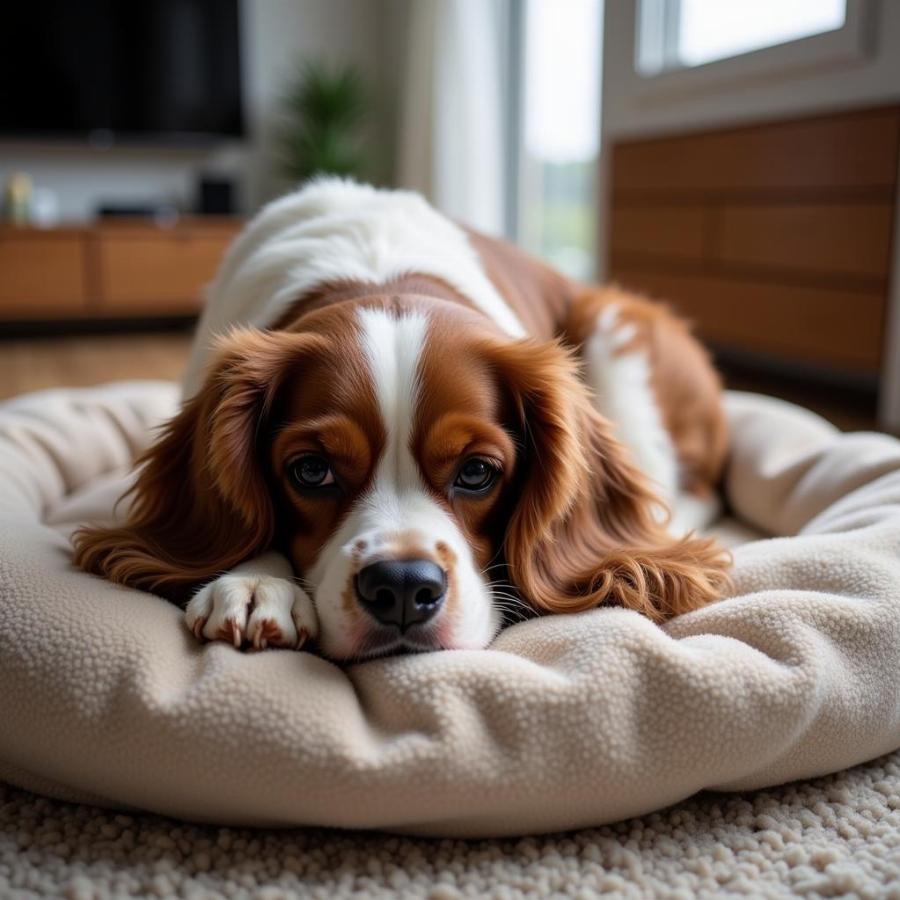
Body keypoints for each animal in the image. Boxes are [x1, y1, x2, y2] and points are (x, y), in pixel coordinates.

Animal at [74, 179, 728, 664]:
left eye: (477, 472)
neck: (376, 270)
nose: (405, 588)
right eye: (311, 470)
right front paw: (258, 581)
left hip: (617, 329)